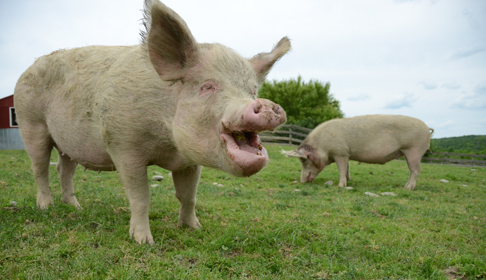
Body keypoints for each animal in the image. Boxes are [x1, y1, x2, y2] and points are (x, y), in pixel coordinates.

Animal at [14, 0, 288, 244]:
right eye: (207, 86)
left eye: (252, 90)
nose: (266, 105)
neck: (169, 146)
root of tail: (25, 70)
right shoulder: (123, 146)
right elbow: (141, 197)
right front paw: (144, 241)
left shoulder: (189, 161)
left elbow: (188, 196)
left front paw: (194, 228)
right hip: (30, 123)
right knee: (39, 169)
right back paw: (46, 207)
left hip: (68, 142)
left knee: (64, 169)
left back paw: (75, 207)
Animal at [284, 114, 432, 190]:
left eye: (304, 160)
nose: (302, 181)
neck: (323, 146)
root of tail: (427, 128)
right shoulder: (346, 153)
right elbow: (347, 168)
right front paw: (348, 181)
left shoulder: (340, 152)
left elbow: (341, 169)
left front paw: (341, 186)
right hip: (407, 152)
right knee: (412, 170)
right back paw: (405, 186)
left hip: (414, 150)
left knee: (416, 170)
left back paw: (408, 188)